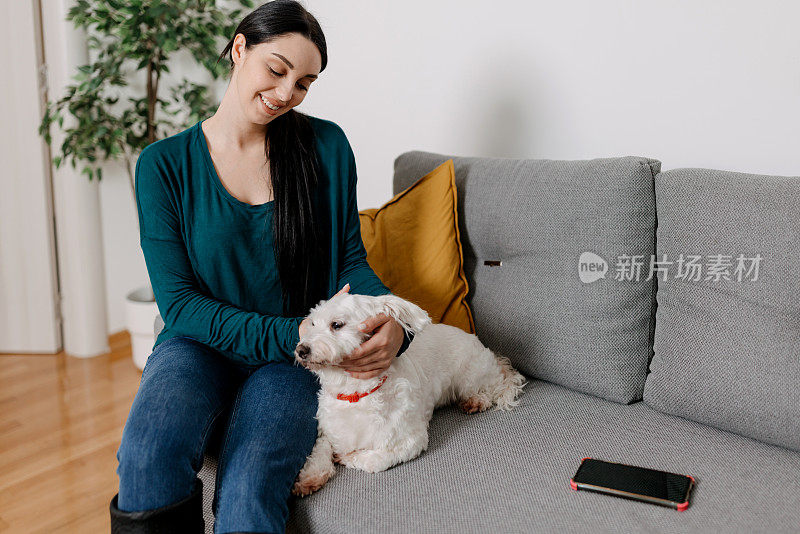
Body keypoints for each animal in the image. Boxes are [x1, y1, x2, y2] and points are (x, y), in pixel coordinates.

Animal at [290, 294, 528, 498]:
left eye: (336, 325)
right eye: (312, 324)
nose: (301, 349)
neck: (356, 395)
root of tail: (478, 342)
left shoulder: (412, 440)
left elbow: (376, 460)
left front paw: (350, 456)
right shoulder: (328, 432)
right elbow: (318, 451)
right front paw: (310, 477)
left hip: (469, 378)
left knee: (494, 388)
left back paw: (477, 400)